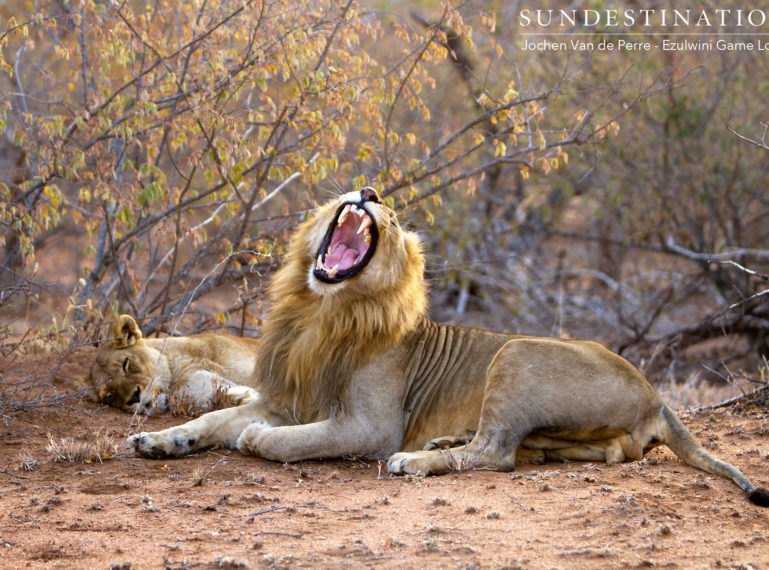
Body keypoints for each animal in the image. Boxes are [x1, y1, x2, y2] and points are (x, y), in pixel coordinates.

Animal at [129, 189, 764, 504]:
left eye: (389, 214)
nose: (369, 186)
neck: (319, 311)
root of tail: (656, 395)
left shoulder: (369, 426)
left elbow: (291, 440)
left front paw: (258, 440)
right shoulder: (284, 397)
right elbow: (213, 419)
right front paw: (160, 440)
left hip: (515, 354)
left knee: (495, 454)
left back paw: (415, 459)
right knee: (519, 451)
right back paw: (443, 441)